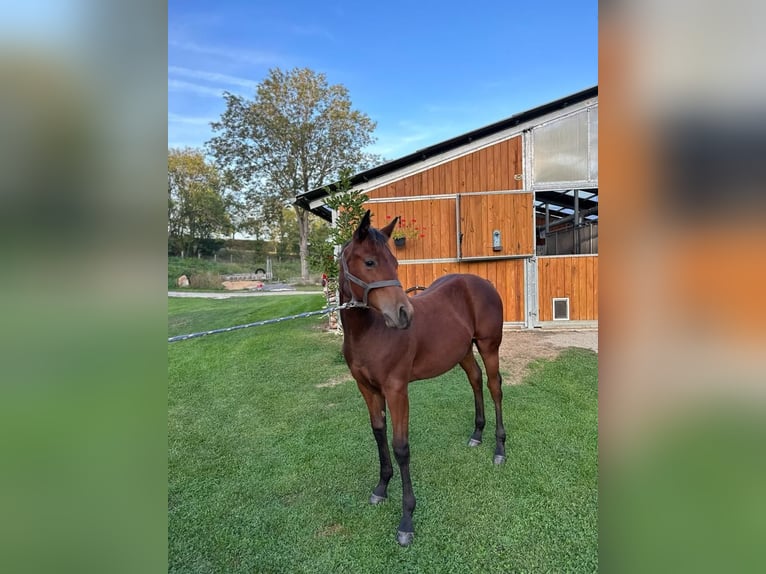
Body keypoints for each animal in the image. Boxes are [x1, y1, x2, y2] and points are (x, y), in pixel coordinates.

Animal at [340, 213, 508, 548]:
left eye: (395, 262)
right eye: (369, 262)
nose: (404, 314)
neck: (369, 332)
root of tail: (483, 283)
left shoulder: (396, 389)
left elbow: (401, 447)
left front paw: (406, 519)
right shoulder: (367, 389)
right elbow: (378, 434)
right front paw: (381, 488)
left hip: (489, 346)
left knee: (495, 388)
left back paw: (499, 449)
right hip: (462, 351)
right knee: (475, 379)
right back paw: (477, 434)